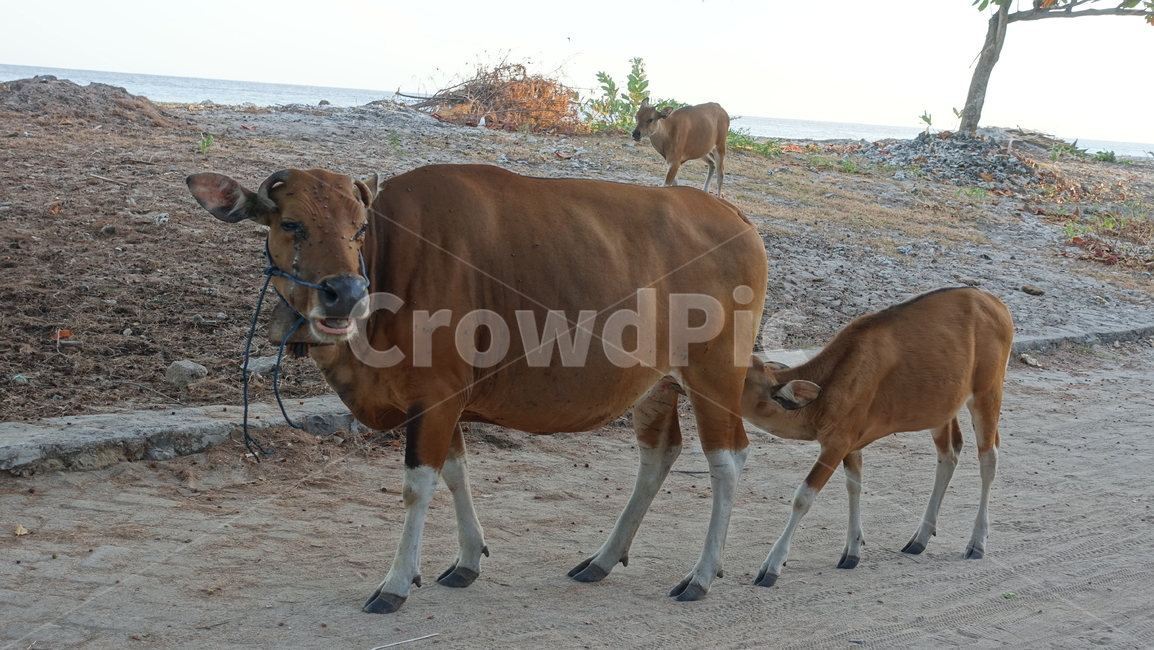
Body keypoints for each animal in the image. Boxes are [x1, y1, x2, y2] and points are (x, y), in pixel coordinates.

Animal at [186, 164, 768, 612]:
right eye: (291, 223)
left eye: (359, 229)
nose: (345, 293)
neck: (393, 264)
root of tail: (735, 217)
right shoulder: (439, 400)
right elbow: (455, 471)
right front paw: (466, 559)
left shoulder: (436, 396)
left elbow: (418, 486)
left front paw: (397, 582)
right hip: (657, 385)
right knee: (659, 455)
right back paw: (603, 559)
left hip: (716, 374)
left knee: (728, 460)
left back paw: (702, 574)